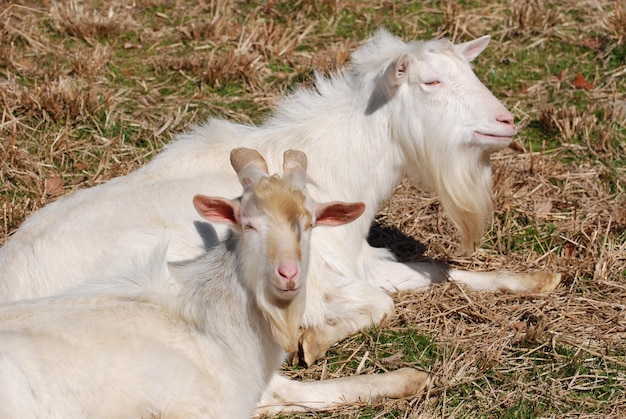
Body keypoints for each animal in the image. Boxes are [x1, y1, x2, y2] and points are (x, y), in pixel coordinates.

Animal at [0, 28, 560, 370]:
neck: (336, 163)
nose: (506, 121)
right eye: (432, 81)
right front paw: (312, 340)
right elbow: (381, 302)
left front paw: (540, 279)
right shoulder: (316, 272)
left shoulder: (356, 257)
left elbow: (431, 270)